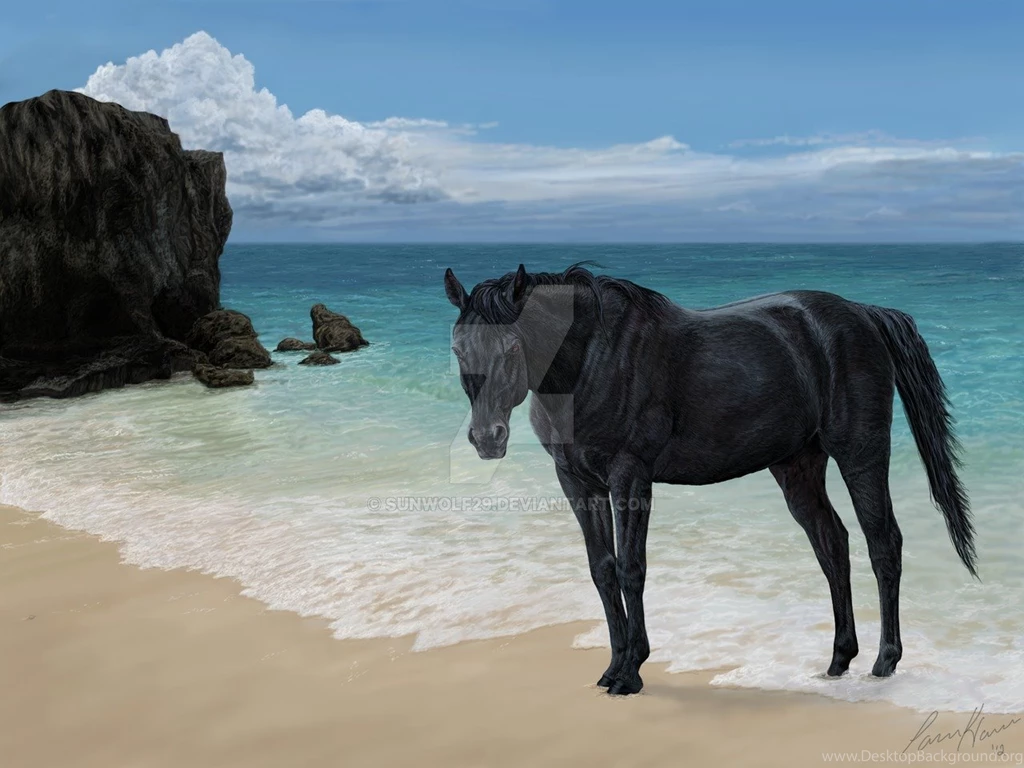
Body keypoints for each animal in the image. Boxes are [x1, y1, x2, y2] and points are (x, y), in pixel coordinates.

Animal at [444, 262, 976, 696]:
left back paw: (885, 662)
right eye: (457, 348)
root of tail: (864, 313)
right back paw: (839, 659)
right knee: (832, 545)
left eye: (512, 345)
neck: (596, 358)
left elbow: (631, 568)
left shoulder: (629, 477)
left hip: (861, 456)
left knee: (883, 543)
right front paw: (611, 667)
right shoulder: (577, 483)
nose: (487, 438)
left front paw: (631, 672)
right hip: (798, 467)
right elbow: (602, 570)